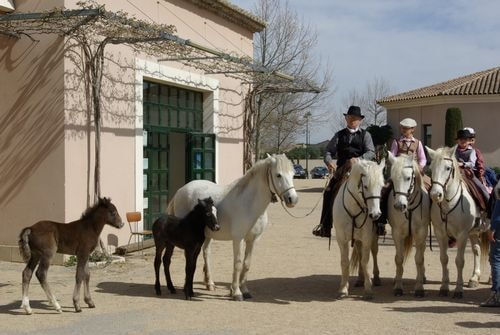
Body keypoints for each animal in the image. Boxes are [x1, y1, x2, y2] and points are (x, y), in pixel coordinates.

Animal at [166, 154, 296, 300]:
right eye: (278, 175)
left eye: (293, 174)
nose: (292, 199)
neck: (249, 204)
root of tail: (180, 190)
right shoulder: (238, 239)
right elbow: (238, 264)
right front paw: (236, 292)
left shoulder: (252, 240)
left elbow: (246, 264)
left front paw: (244, 290)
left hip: (207, 235)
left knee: (206, 253)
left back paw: (209, 283)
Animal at [334, 159, 384, 300]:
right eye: (365, 186)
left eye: (381, 186)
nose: (375, 214)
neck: (353, 209)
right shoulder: (341, 239)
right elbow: (344, 262)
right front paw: (343, 288)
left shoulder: (367, 237)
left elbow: (365, 261)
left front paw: (368, 289)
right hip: (356, 239)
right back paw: (360, 279)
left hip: (372, 237)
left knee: (374, 252)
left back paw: (376, 278)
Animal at [386, 152, 430, 296]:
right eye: (392, 179)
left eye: (408, 178)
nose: (399, 206)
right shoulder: (397, 233)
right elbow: (398, 259)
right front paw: (398, 287)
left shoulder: (421, 232)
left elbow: (419, 259)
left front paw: (419, 288)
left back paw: (422, 277)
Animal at [426, 147, 488, 300]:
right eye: (431, 169)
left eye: (448, 168)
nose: (435, 195)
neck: (448, 204)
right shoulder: (440, 234)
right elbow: (444, 259)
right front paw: (444, 287)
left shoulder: (462, 235)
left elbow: (459, 261)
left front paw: (458, 289)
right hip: (474, 233)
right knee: (476, 250)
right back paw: (474, 278)